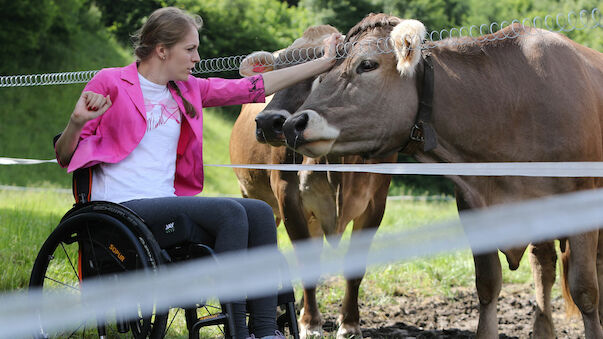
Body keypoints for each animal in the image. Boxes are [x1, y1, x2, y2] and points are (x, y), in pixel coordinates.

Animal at [230, 25, 396, 338]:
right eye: (277, 68)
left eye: (322, 72)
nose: (268, 122)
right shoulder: (288, 197)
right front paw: (310, 323)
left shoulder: (375, 204)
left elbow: (355, 269)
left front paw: (350, 324)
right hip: (254, 196)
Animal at [280, 13, 603, 339]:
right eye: (325, 73)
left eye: (367, 64)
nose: (294, 124)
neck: (511, 105)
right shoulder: (472, 204)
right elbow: (487, 285)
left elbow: (585, 291)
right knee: (544, 264)